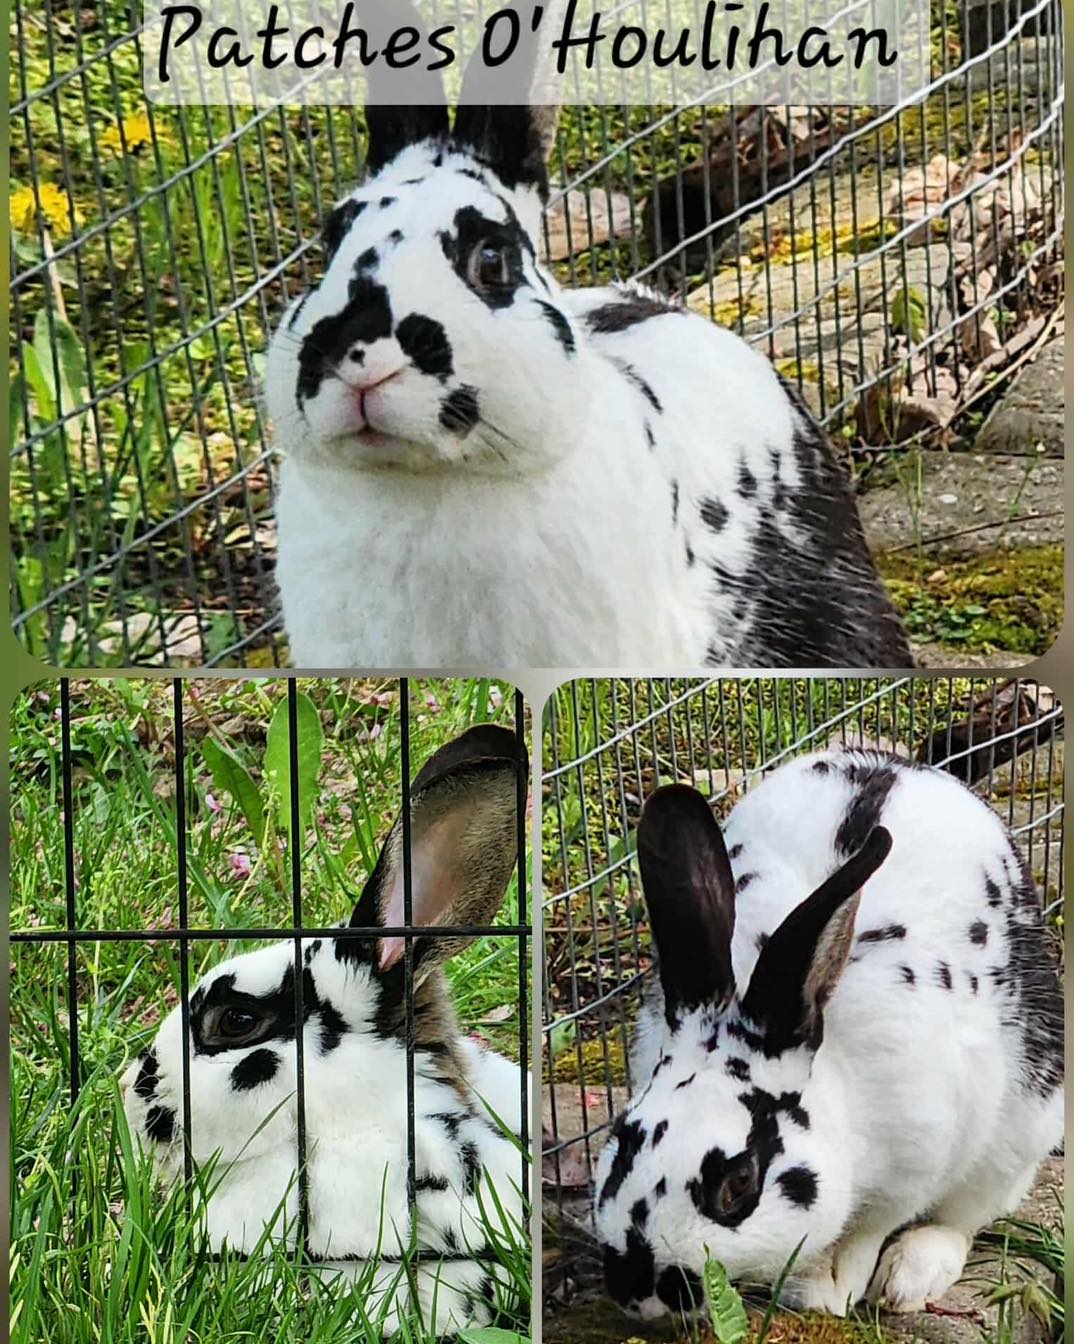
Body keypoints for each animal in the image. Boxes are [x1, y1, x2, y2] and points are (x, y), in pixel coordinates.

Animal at [594, 748, 1063, 1320]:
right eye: (621, 1136)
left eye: (740, 1182)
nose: (639, 1289)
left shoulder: (915, 1164)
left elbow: (868, 1230)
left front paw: (830, 1288)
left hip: (1023, 1127)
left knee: (965, 1216)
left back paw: (912, 1277)